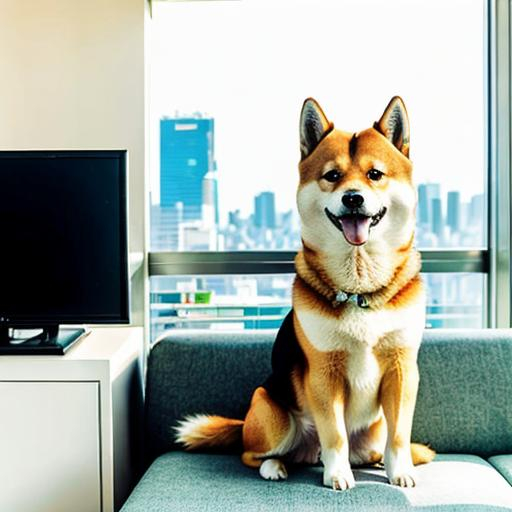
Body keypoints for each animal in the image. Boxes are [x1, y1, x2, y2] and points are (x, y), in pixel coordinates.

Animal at [175, 97, 432, 492]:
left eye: (375, 174)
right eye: (332, 176)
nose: (353, 198)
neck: (359, 286)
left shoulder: (402, 370)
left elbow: (400, 434)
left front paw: (400, 470)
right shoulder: (323, 374)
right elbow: (335, 434)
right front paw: (338, 475)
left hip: (371, 434)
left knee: (370, 448)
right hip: (270, 411)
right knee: (253, 454)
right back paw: (276, 466)